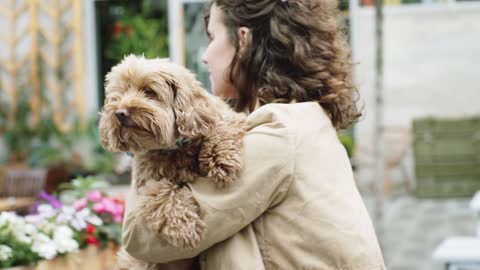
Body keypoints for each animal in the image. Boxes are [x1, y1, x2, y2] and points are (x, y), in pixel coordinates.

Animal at [97, 54, 248, 268]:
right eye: (118, 94)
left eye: (149, 91)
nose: (120, 113)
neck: (175, 147)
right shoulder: (146, 184)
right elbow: (164, 192)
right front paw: (184, 227)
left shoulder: (228, 119)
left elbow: (221, 128)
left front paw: (220, 159)